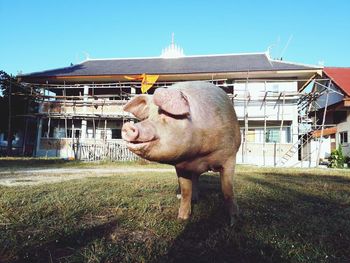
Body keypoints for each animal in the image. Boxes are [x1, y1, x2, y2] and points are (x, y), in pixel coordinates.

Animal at [121, 81, 241, 226]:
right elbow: (185, 190)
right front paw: (182, 218)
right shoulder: (181, 166)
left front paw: (233, 223)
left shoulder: (229, 157)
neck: (199, 154)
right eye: (148, 116)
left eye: (165, 114)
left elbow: (227, 191)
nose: (127, 127)